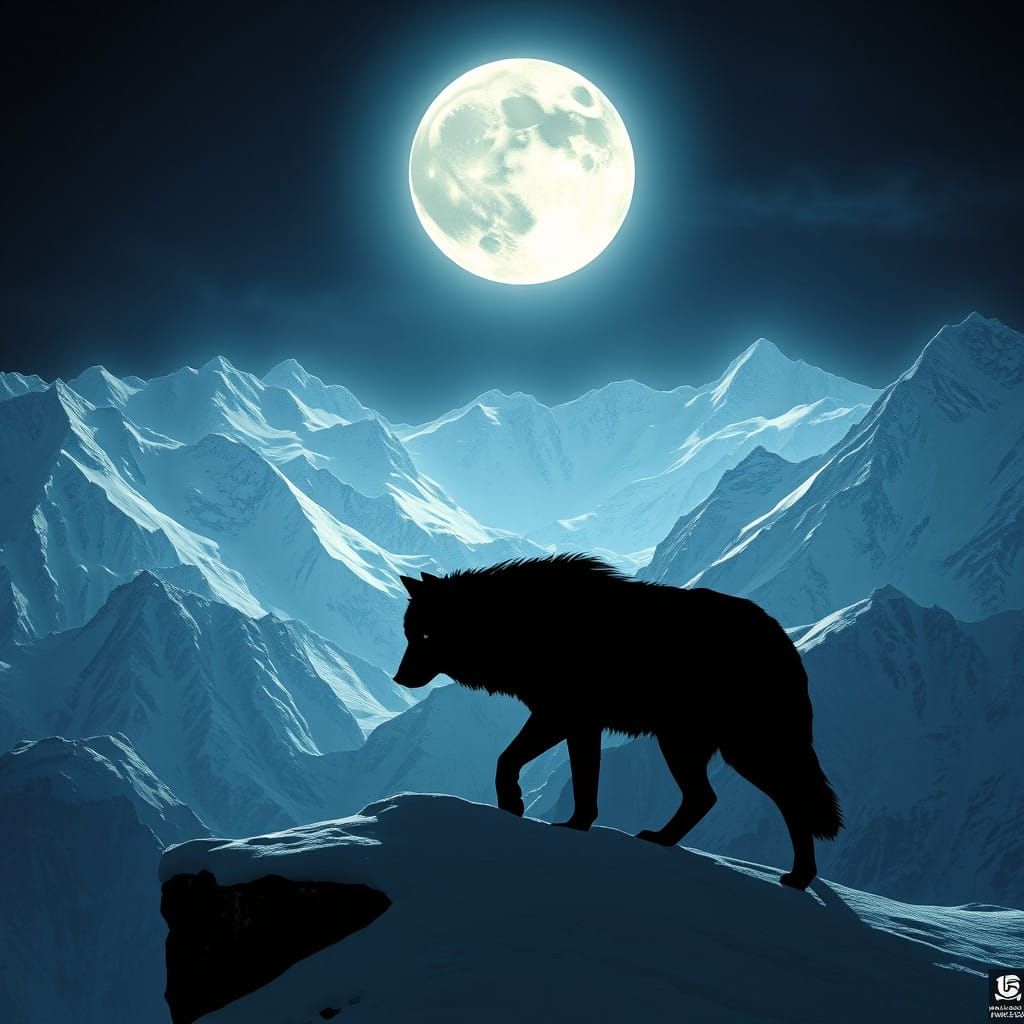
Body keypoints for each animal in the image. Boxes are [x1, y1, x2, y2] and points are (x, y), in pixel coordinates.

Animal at [393, 554, 842, 889]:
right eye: (409, 635)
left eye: (426, 636)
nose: (398, 678)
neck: (524, 623)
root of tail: (784, 641)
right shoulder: (581, 725)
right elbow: (583, 784)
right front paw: (574, 827)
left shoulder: (559, 715)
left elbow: (507, 761)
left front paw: (514, 806)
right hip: (684, 744)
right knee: (705, 798)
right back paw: (664, 841)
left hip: (738, 748)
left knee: (788, 801)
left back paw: (799, 876)